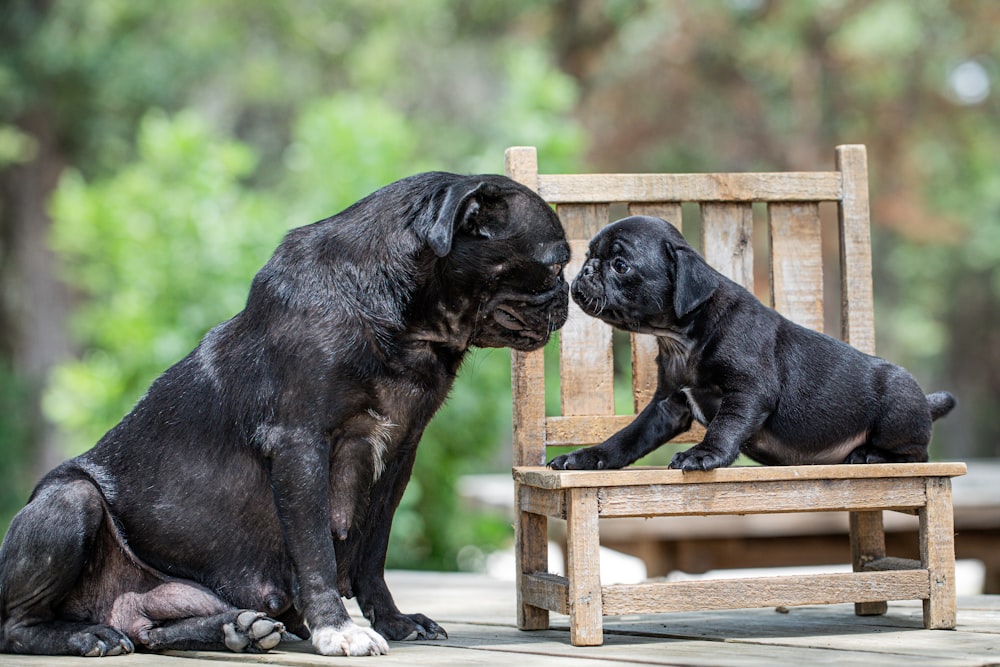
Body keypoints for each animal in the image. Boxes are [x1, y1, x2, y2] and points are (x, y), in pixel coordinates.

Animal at [0, 172, 572, 656]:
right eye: (554, 263)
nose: (568, 295)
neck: (405, 324)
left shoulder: (397, 459)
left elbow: (373, 552)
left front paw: (392, 621)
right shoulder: (301, 446)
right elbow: (316, 548)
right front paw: (338, 630)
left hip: (159, 596)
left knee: (147, 627)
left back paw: (236, 628)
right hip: (69, 502)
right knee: (17, 624)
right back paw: (86, 637)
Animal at [552, 217, 956, 472]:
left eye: (620, 265)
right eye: (589, 255)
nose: (586, 269)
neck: (684, 337)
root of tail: (924, 401)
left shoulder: (748, 392)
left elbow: (725, 426)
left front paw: (704, 455)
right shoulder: (668, 405)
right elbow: (628, 437)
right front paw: (589, 457)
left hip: (898, 410)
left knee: (917, 453)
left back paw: (871, 455)